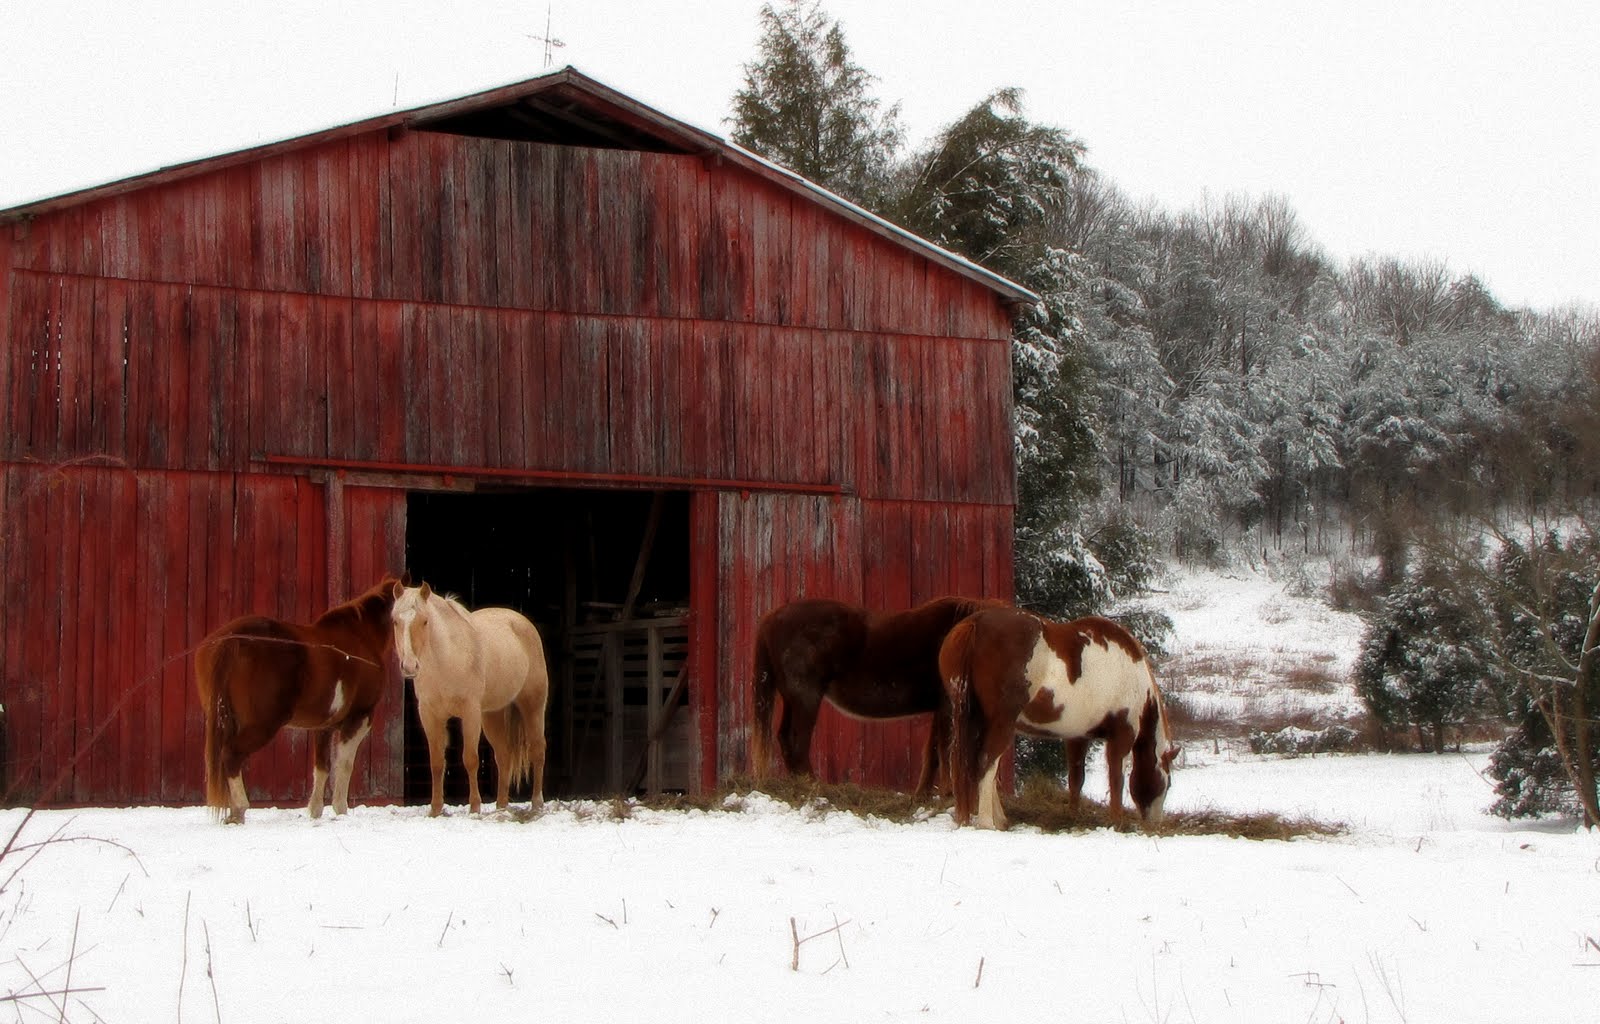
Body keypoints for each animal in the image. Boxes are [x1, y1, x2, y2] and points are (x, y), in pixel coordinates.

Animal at [195, 575, 402, 824]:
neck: (361, 637)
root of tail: (232, 640)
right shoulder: (359, 719)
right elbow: (344, 764)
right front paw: (340, 809)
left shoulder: (323, 727)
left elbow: (322, 767)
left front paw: (315, 811)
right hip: (262, 725)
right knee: (231, 755)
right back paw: (240, 810)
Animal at [391, 583, 550, 817]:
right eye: (395, 621)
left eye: (425, 621)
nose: (410, 666)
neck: (448, 658)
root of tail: (523, 623)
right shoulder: (430, 715)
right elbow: (436, 762)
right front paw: (435, 810)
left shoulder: (470, 713)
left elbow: (470, 759)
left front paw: (474, 807)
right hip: (492, 715)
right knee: (503, 755)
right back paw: (501, 807)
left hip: (532, 706)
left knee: (537, 750)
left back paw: (537, 803)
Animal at [750, 595, 1003, 796]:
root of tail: (772, 618)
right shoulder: (948, 706)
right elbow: (944, 750)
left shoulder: (940, 708)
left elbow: (932, 753)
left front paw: (922, 796)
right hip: (806, 698)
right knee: (798, 741)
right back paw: (812, 786)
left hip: (792, 699)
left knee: (785, 738)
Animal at [940, 607, 1178, 830]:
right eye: (1167, 784)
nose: (1156, 823)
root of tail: (976, 623)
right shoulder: (1122, 736)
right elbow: (1116, 779)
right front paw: (1117, 821)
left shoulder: (1077, 737)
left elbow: (1076, 778)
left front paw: (1073, 814)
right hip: (1001, 723)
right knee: (986, 763)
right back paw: (988, 822)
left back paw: (999, 820)